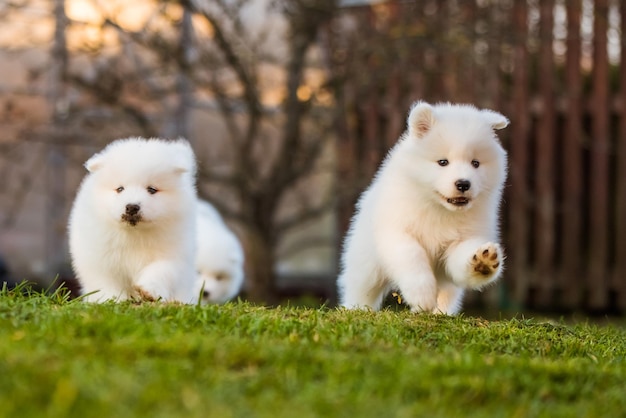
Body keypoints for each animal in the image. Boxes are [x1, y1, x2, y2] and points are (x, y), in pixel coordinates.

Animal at [68, 138, 196, 304]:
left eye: (152, 189)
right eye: (120, 189)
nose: (132, 207)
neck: (135, 233)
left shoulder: (173, 253)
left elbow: (160, 269)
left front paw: (148, 290)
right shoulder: (101, 260)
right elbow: (107, 283)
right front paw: (112, 300)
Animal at [336, 103, 508, 316]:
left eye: (475, 163)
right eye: (443, 162)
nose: (463, 183)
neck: (440, 209)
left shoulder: (462, 239)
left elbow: (462, 258)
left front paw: (483, 262)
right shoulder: (397, 231)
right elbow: (412, 256)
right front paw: (422, 296)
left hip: (447, 288)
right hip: (366, 263)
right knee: (360, 288)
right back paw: (356, 309)